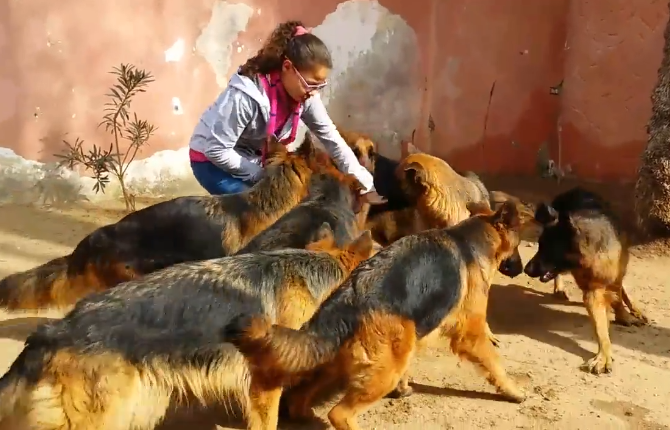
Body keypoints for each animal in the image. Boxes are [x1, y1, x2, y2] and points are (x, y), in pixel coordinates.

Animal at [226, 201, 532, 430]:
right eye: (518, 244)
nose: (523, 269)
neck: (471, 239)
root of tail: (349, 298)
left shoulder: (414, 333)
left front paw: (405, 387)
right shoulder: (470, 334)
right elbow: (495, 363)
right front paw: (514, 391)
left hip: (339, 361)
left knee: (298, 397)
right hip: (382, 373)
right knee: (339, 414)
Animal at [524, 187, 652, 372]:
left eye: (548, 248)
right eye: (540, 245)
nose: (525, 269)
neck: (593, 253)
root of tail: (574, 189)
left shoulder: (614, 277)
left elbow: (618, 297)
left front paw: (625, 316)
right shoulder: (593, 293)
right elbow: (600, 328)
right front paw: (603, 356)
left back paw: (635, 310)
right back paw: (559, 289)